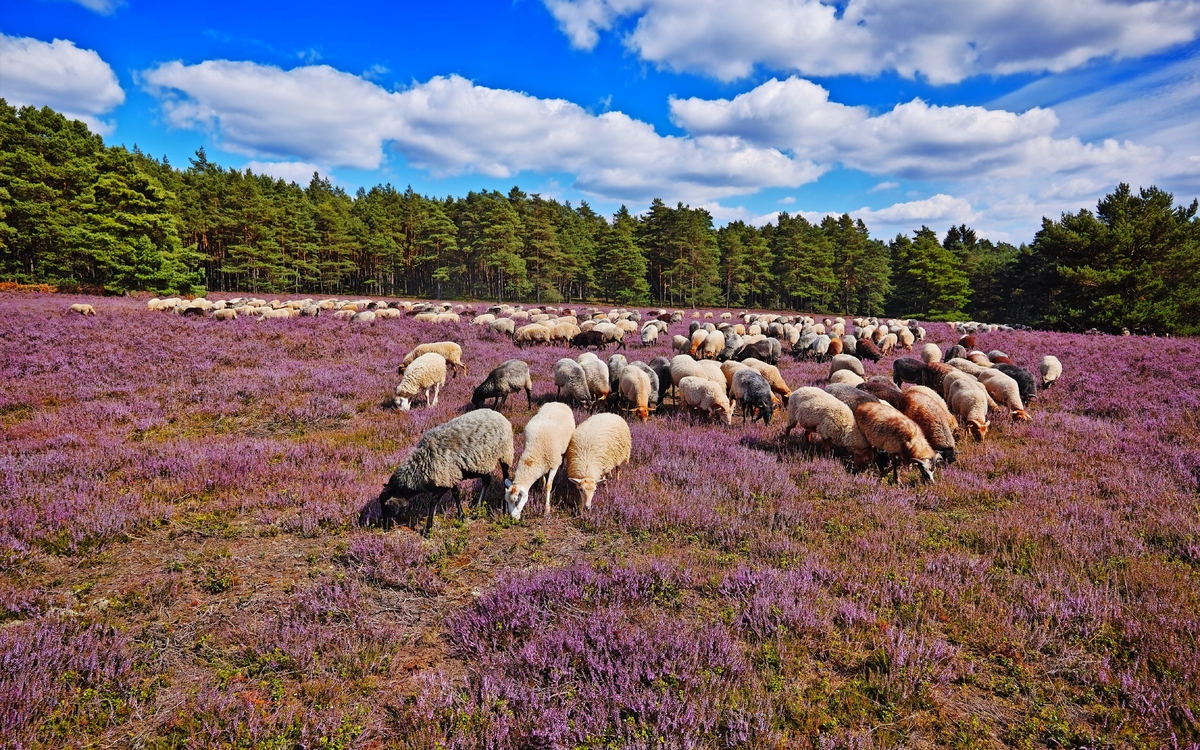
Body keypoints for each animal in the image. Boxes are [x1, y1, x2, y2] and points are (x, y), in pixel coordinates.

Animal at [372, 405, 508, 535]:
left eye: (386, 505)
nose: (385, 528)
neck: (422, 465)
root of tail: (495, 413)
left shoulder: (444, 481)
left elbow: (433, 500)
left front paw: (428, 529)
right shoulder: (451, 476)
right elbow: (456, 494)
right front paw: (461, 516)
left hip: (506, 453)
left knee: (506, 479)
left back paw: (505, 509)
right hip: (482, 464)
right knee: (487, 479)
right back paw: (478, 508)